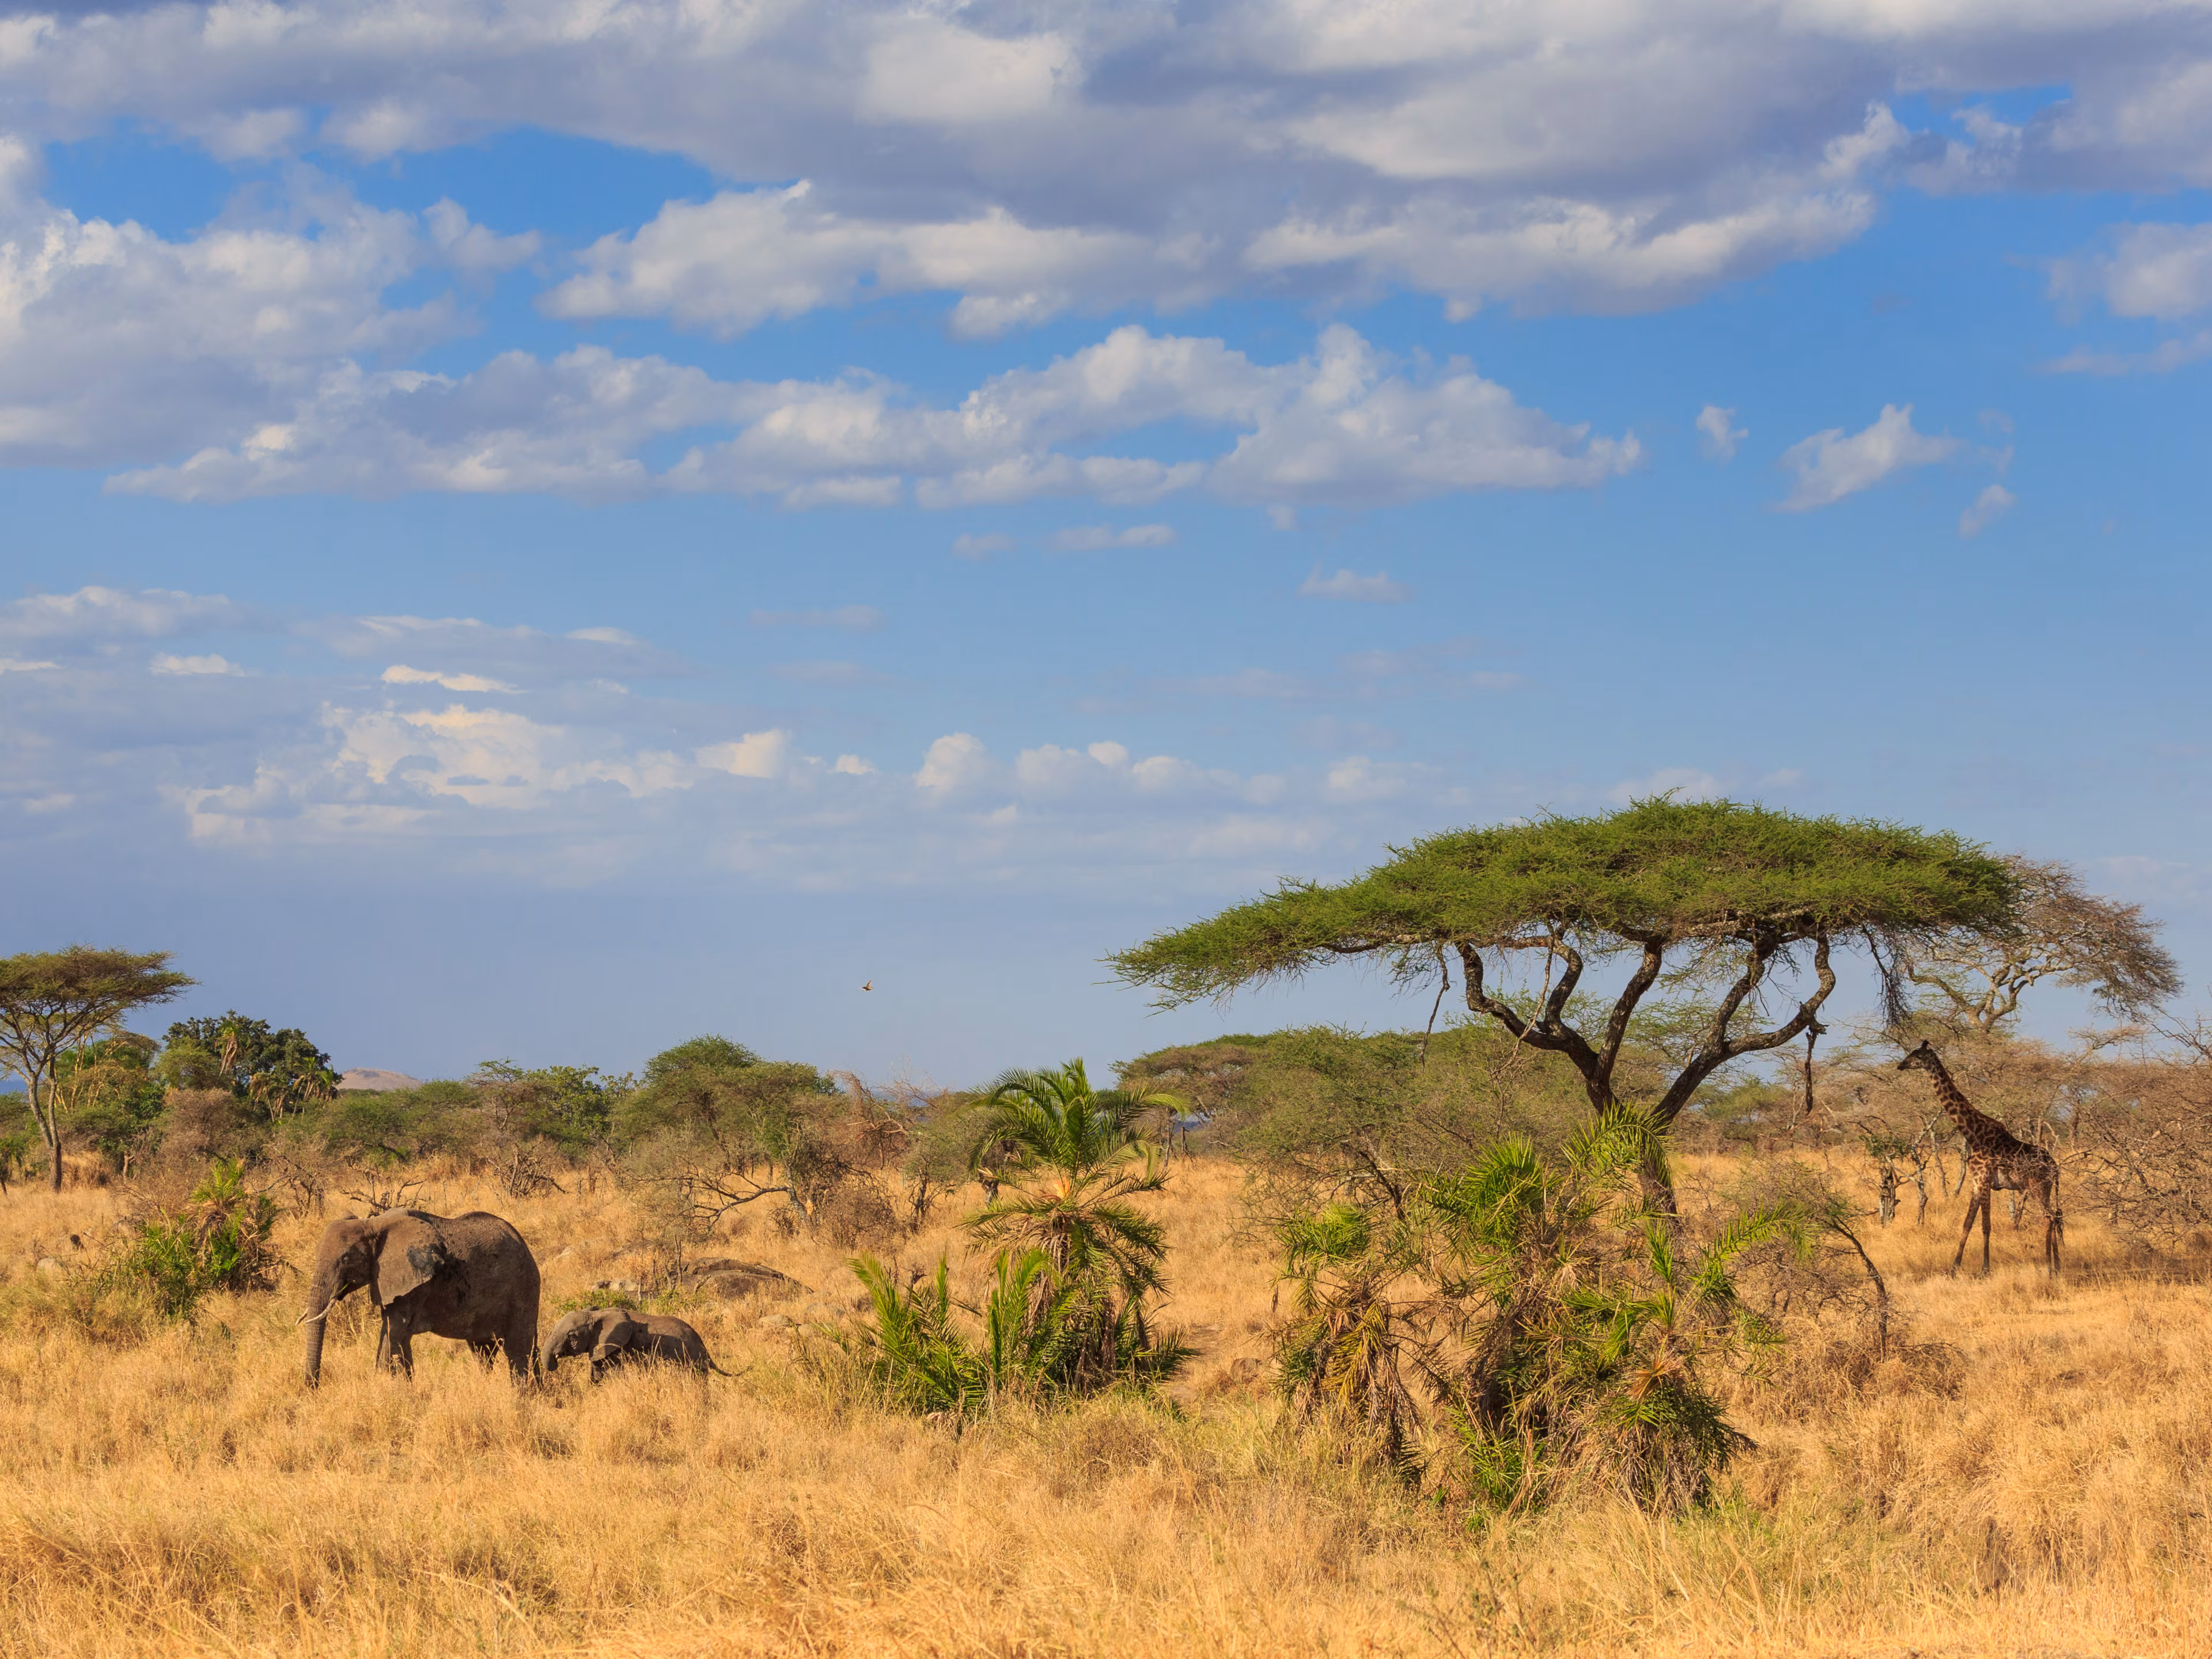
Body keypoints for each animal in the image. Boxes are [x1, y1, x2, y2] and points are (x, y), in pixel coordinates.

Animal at [301, 1209, 540, 1387]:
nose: (313, 1388)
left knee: (518, 1350)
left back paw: (520, 1396)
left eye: (346, 1259)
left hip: (523, 1287)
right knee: (483, 1352)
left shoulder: (415, 1284)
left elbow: (394, 1333)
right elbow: (398, 1337)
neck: (372, 1224)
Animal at [1897, 1041, 2062, 1276]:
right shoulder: (1976, 1182)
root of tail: (2055, 1167)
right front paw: (1954, 1268)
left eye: (1917, 1055)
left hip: (2037, 1186)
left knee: (2048, 1218)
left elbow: (1985, 1225)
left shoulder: (1984, 1180)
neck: (1973, 1134)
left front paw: (1985, 1270)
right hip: (2047, 1189)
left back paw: (2049, 1268)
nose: (1901, 1065)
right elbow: (1967, 1223)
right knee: (2055, 1216)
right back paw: (2057, 1266)